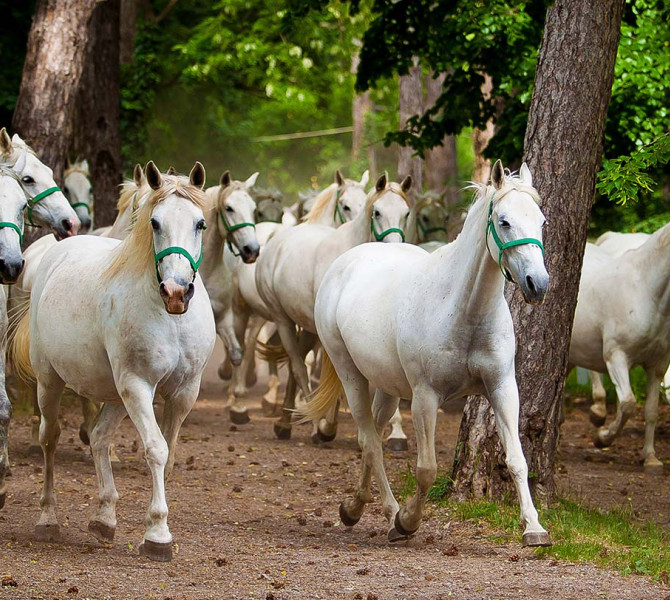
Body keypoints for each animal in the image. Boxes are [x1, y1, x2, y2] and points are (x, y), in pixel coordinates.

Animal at [10, 162, 215, 562]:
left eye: (200, 223)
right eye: (154, 222)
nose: (176, 292)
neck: (171, 319)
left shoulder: (184, 392)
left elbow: (168, 450)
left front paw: (151, 525)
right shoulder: (138, 385)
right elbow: (156, 449)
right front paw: (158, 535)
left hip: (116, 395)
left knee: (100, 437)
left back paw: (104, 518)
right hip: (52, 382)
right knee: (49, 439)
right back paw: (48, 519)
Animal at [255, 173, 413, 441]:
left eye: (406, 212)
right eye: (377, 212)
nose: (394, 245)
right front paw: (327, 427)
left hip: (308, 328)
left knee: (298, 363)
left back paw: (286, 421)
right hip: (283, 321)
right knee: (298, 366)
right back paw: (310, 423)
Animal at [302, 160, 551, 547]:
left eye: (541, 221)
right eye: (504, 221)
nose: (537, 284)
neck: (464, 311)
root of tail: (343, 265)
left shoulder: (502, 388)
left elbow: (517, 459)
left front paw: (534, 527)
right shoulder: (425, 396)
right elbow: (427, 469)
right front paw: (409, 520)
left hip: (387, 387)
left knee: (372, 437)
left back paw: (357, 507)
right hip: (351, 376)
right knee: (370, 442)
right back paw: (389, 514)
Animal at [569, 225, 670, 472]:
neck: (646, 290)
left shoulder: (657, 365)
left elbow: (651, 411)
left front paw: (650, 457)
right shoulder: (617, 357)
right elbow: (628, 404)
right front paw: (602, 437)